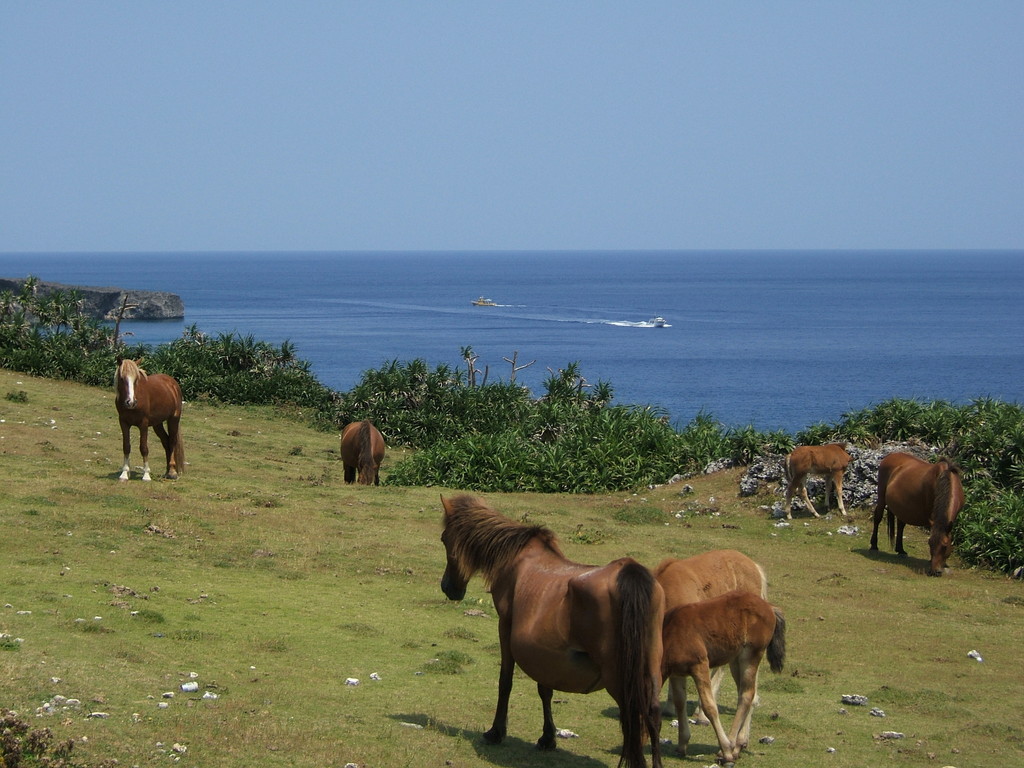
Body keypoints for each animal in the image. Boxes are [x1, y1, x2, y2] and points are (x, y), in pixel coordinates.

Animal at [438, 495, 663, 765]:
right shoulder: (544, 652)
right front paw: (547, 737)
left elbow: (506, 680)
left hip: (619, 677)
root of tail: (629, 572)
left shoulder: (505, 626)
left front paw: (496, 731)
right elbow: (545, 689)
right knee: (652, 716)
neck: (517, 557)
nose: (447, 587)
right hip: (651, 669)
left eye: (443, 538)